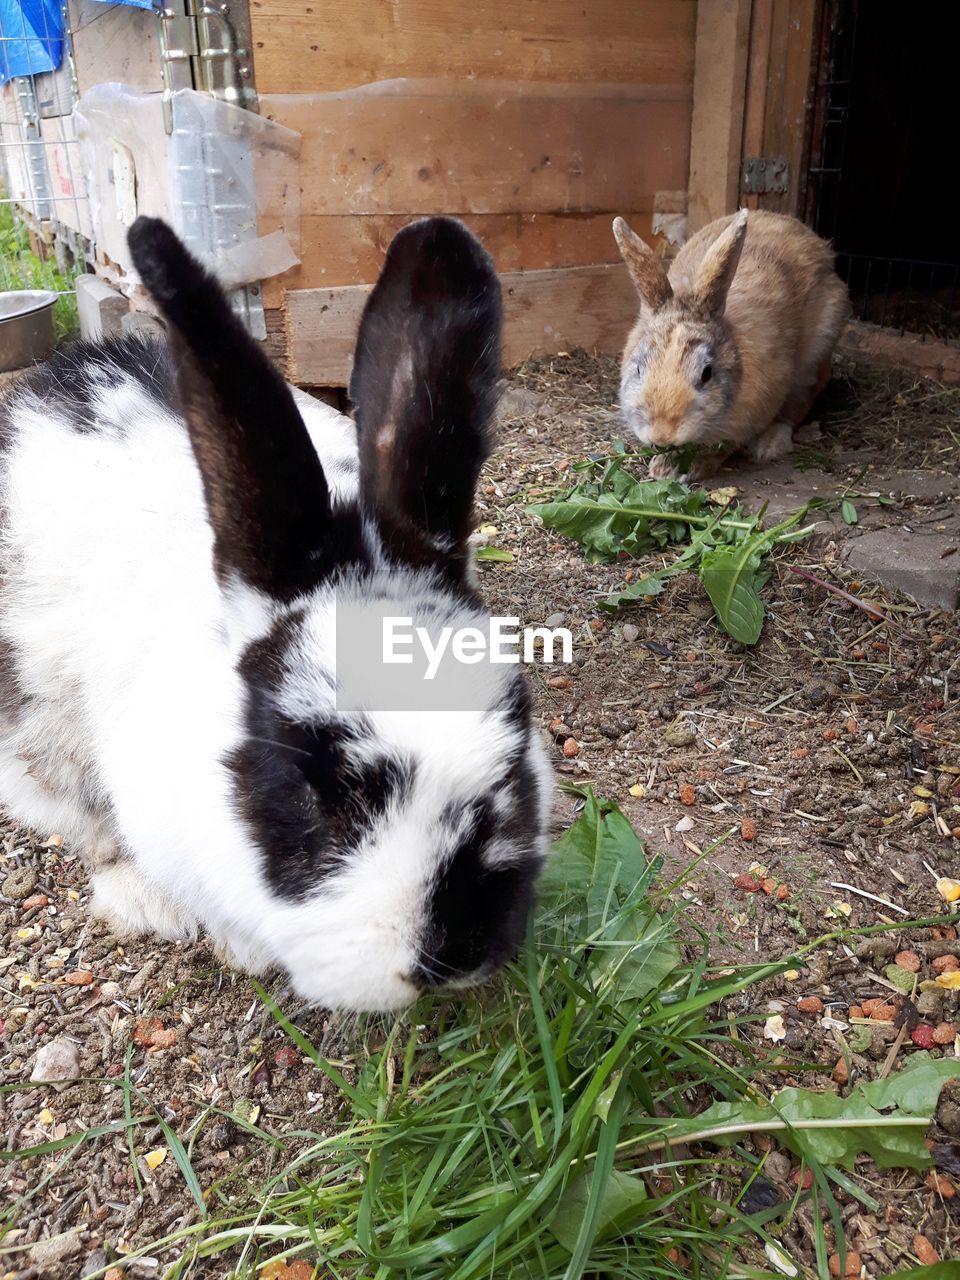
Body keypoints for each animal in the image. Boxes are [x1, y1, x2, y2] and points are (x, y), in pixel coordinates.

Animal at [616, 209, 849, 481]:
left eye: (706, 373)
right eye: (639, 370)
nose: (663, 434)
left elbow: (722, 448)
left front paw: (691, 466)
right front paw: (663, 466)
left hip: (816, 353)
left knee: (799, 401)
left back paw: (770, 444)